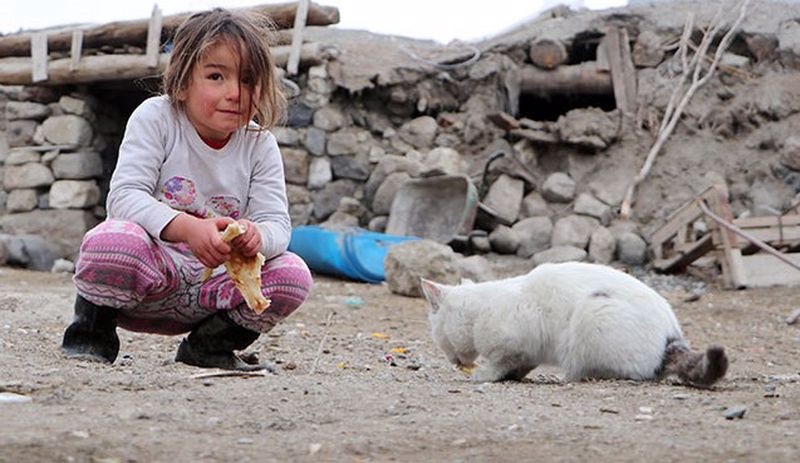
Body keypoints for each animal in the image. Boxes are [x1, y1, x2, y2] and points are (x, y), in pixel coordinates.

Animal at [422, 260, 728, 388]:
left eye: (439, 337)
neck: (480, 311)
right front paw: (513, 376)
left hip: (593, 316)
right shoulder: (528, 350)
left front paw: (485, 375)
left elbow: (501, 361)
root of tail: (672, 335)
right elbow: (520, 364)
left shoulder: (513, 341)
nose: (453, 361)